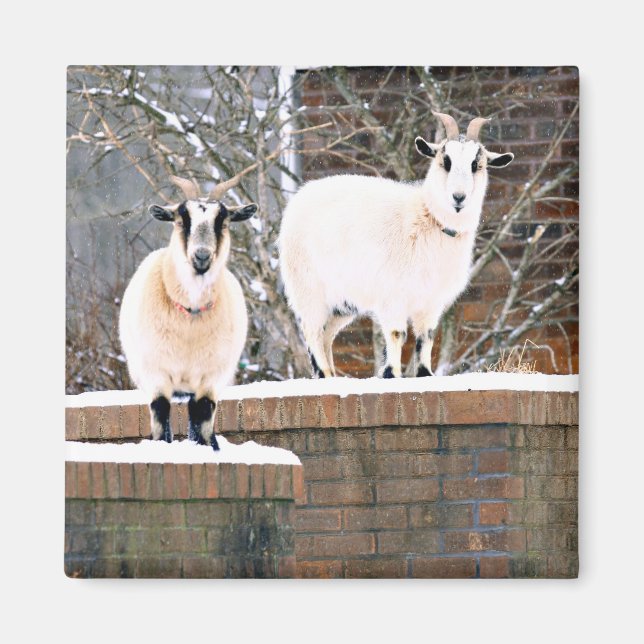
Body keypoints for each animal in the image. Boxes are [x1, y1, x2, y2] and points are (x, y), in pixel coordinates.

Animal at [119, 175, 257, 449]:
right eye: (181, 221)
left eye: (223, 223)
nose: (201, 256)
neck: (190, 317)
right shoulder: (156, 375)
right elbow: (161, 421)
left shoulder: (210, 379)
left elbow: (202, 423)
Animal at [278, 112, 514, 378]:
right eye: (446, 161)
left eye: (477, 164)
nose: (458, 197)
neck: (427, 218)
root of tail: (298, 199)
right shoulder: (392, 296)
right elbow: (396, 334)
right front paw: (391, 372)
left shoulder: (431, 301)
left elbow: (426, 337)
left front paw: (425, 373)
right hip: (309, 290)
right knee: (313, 332)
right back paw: (326, 374)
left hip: (343, 302)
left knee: (327, 335)